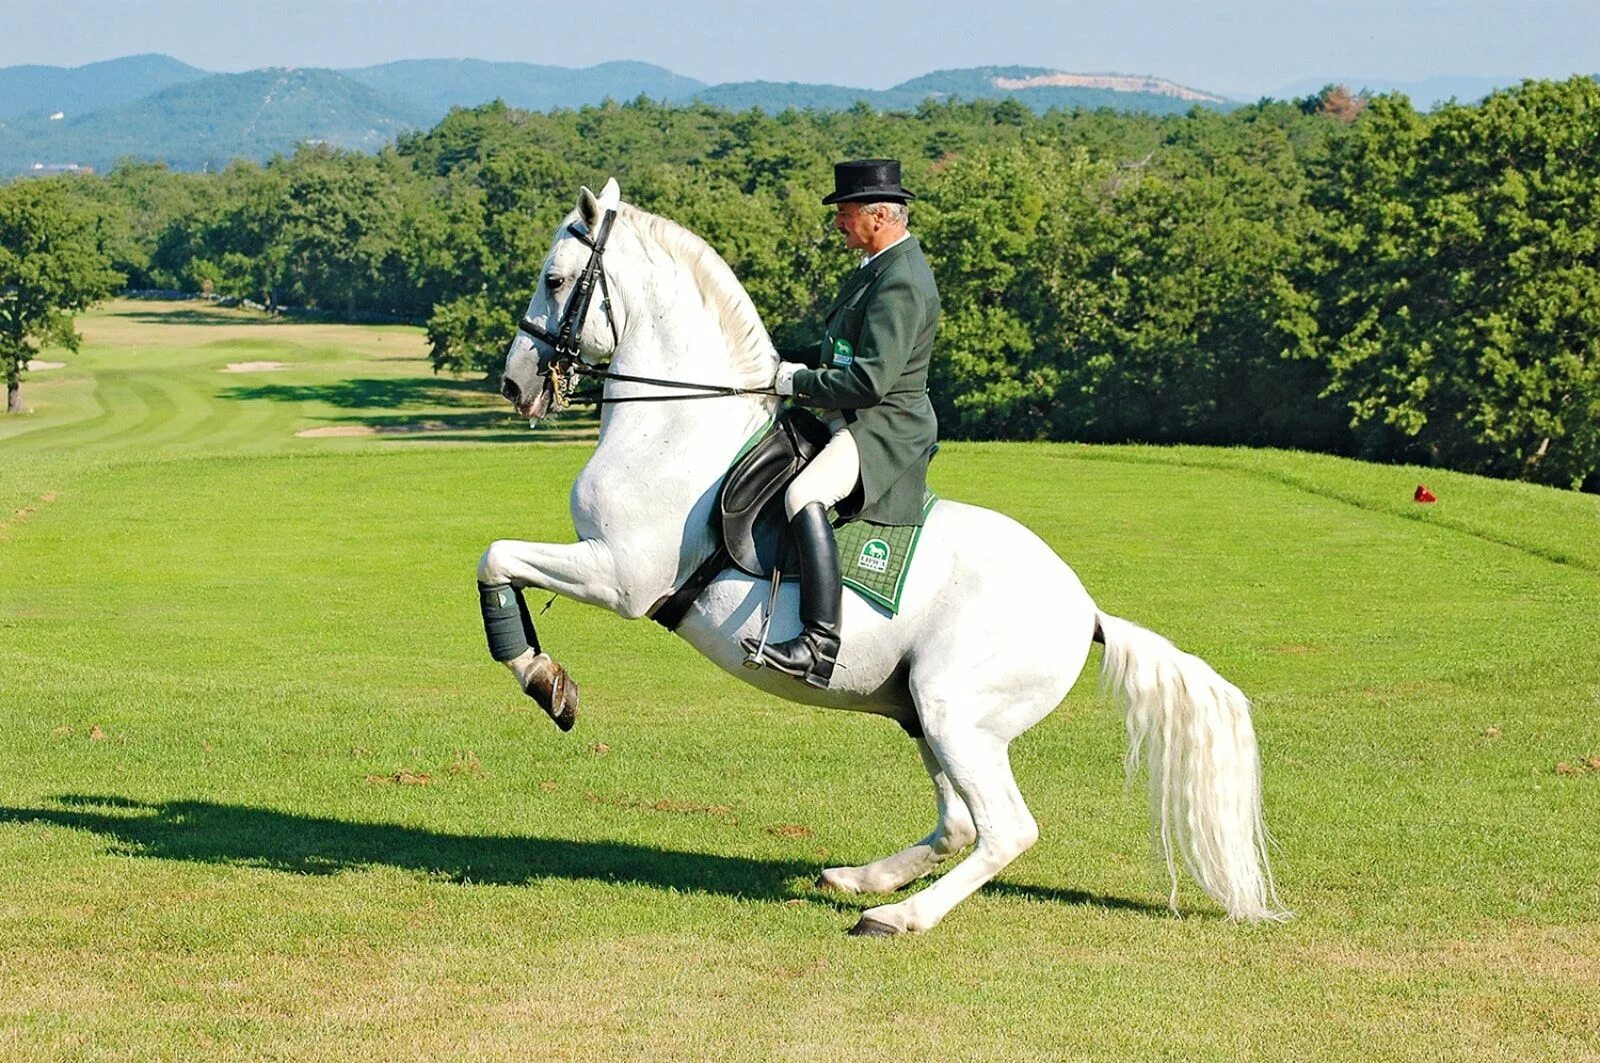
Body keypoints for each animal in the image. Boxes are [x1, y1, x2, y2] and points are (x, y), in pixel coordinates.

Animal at [476, 178, 1286, 934]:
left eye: (555, 279)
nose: (515, 383)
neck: (676, 427)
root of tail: (1086, 610)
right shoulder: (607, 566)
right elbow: (498, 561)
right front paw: (549, 679)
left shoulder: (617, 573)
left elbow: (495, 557)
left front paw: (546, 681)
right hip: (924, 712)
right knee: (959, 825)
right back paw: (861, 878)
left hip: (955, 711)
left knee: (1005, 830)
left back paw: (899, 916)